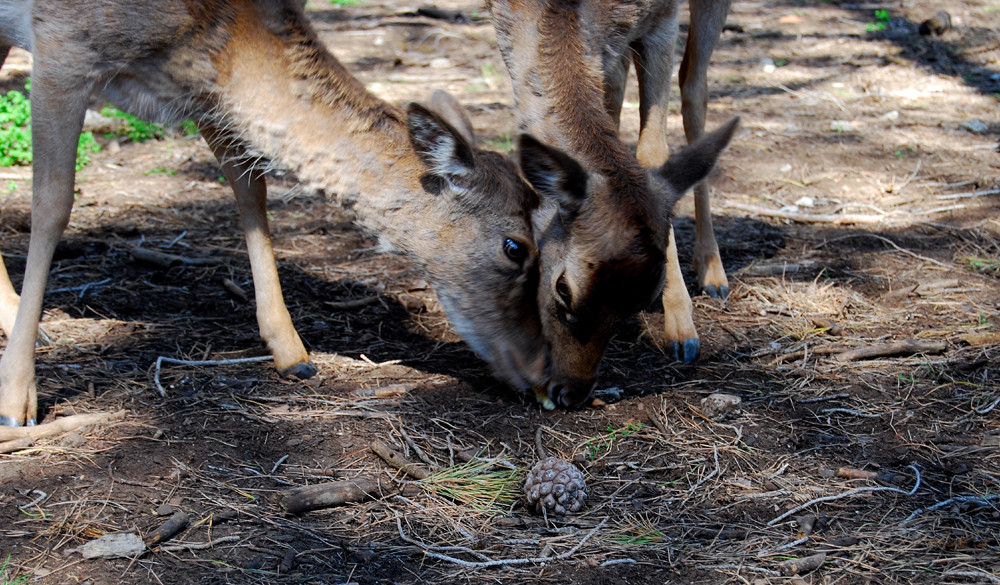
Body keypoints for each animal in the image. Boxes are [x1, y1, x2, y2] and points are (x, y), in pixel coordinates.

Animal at [0, 1, 584, 428]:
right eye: (516, 247)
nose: (545, 372)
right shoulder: (63, 43)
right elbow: (52, 201)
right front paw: (15, 403)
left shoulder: (208, 91)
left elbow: (250, 186)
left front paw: (292, 350)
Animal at [488, 0, 740, 408]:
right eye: (563, 289)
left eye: (645, 299)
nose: (569, 392)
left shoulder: (662, 20)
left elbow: (652, 153)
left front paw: (682, 330)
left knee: (693, 87)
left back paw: (713, 274)